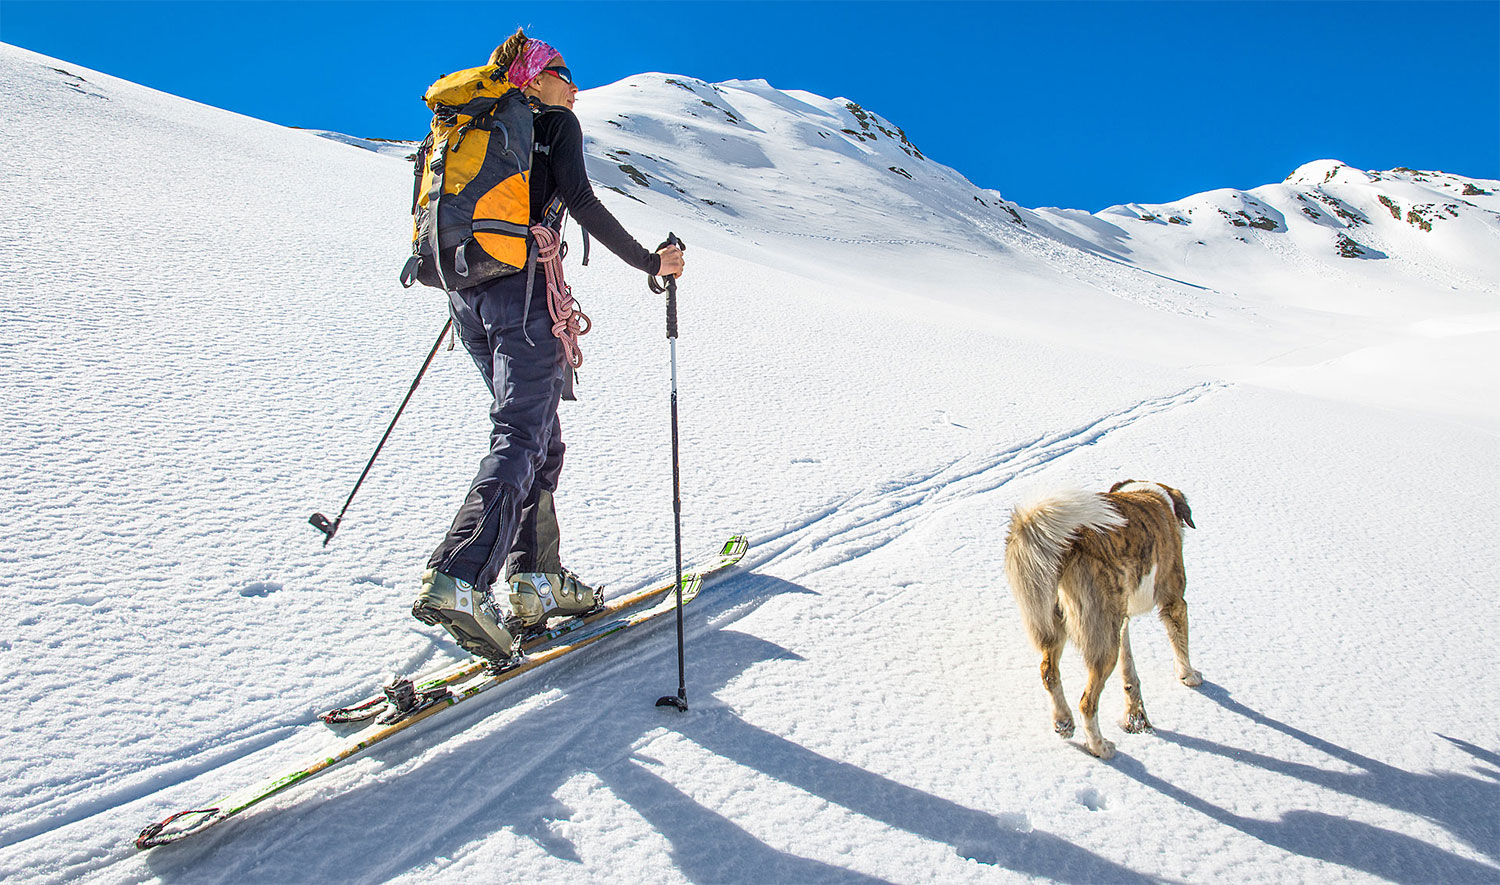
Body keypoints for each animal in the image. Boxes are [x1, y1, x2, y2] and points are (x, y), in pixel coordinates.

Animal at [1002, 483, 1200, 759]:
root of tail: (1070, 545)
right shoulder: (1174, 602)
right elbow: (1180, 646)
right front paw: (1189, 677)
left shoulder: (1121, 621)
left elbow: (1129, 672)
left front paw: (1135, 715)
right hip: (1102, 640)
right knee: (1087, 703)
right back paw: (1100, 747)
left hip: (1058, 621)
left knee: (1048, 672)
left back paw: (1063, 722)